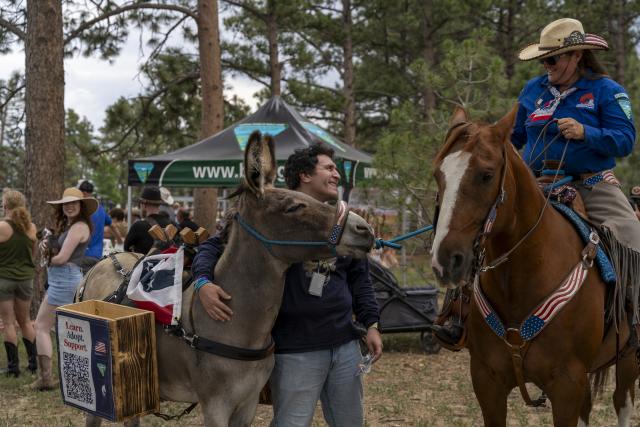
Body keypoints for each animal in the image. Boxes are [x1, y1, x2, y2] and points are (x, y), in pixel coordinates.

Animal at [430, 106, 639, 426]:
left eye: (486, 175)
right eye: (438, 174)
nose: (446, 260)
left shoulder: (566, 386)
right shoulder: (487, 381)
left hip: (629, 358)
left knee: (623, 403)